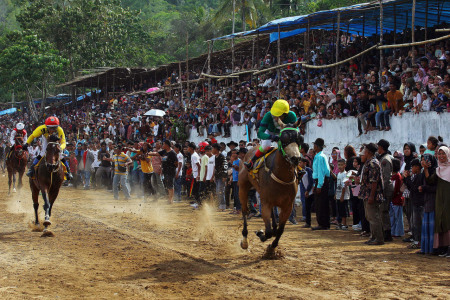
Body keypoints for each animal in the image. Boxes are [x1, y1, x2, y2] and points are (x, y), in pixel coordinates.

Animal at [237, 118, 304, 256]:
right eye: (283, 139)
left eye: (300, 139)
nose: (296, 158)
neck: (282, 177)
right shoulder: (266, 202)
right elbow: (267, 232)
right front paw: (260, 233)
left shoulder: (287, 205)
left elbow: (280, 230)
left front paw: (272, 248)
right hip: (243, 187)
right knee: (245, 211)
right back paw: (245, 240)